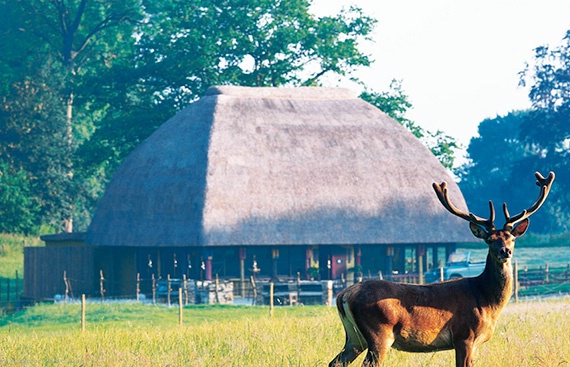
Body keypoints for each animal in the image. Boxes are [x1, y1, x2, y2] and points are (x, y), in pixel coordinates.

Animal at [326, 172, 552, 367]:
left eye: (512, 238)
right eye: (489, 240)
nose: (505, 251)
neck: (486, 301)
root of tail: (344, 295)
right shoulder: (464, 335)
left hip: (354, 337)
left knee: (335, 362)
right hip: (379, 333)